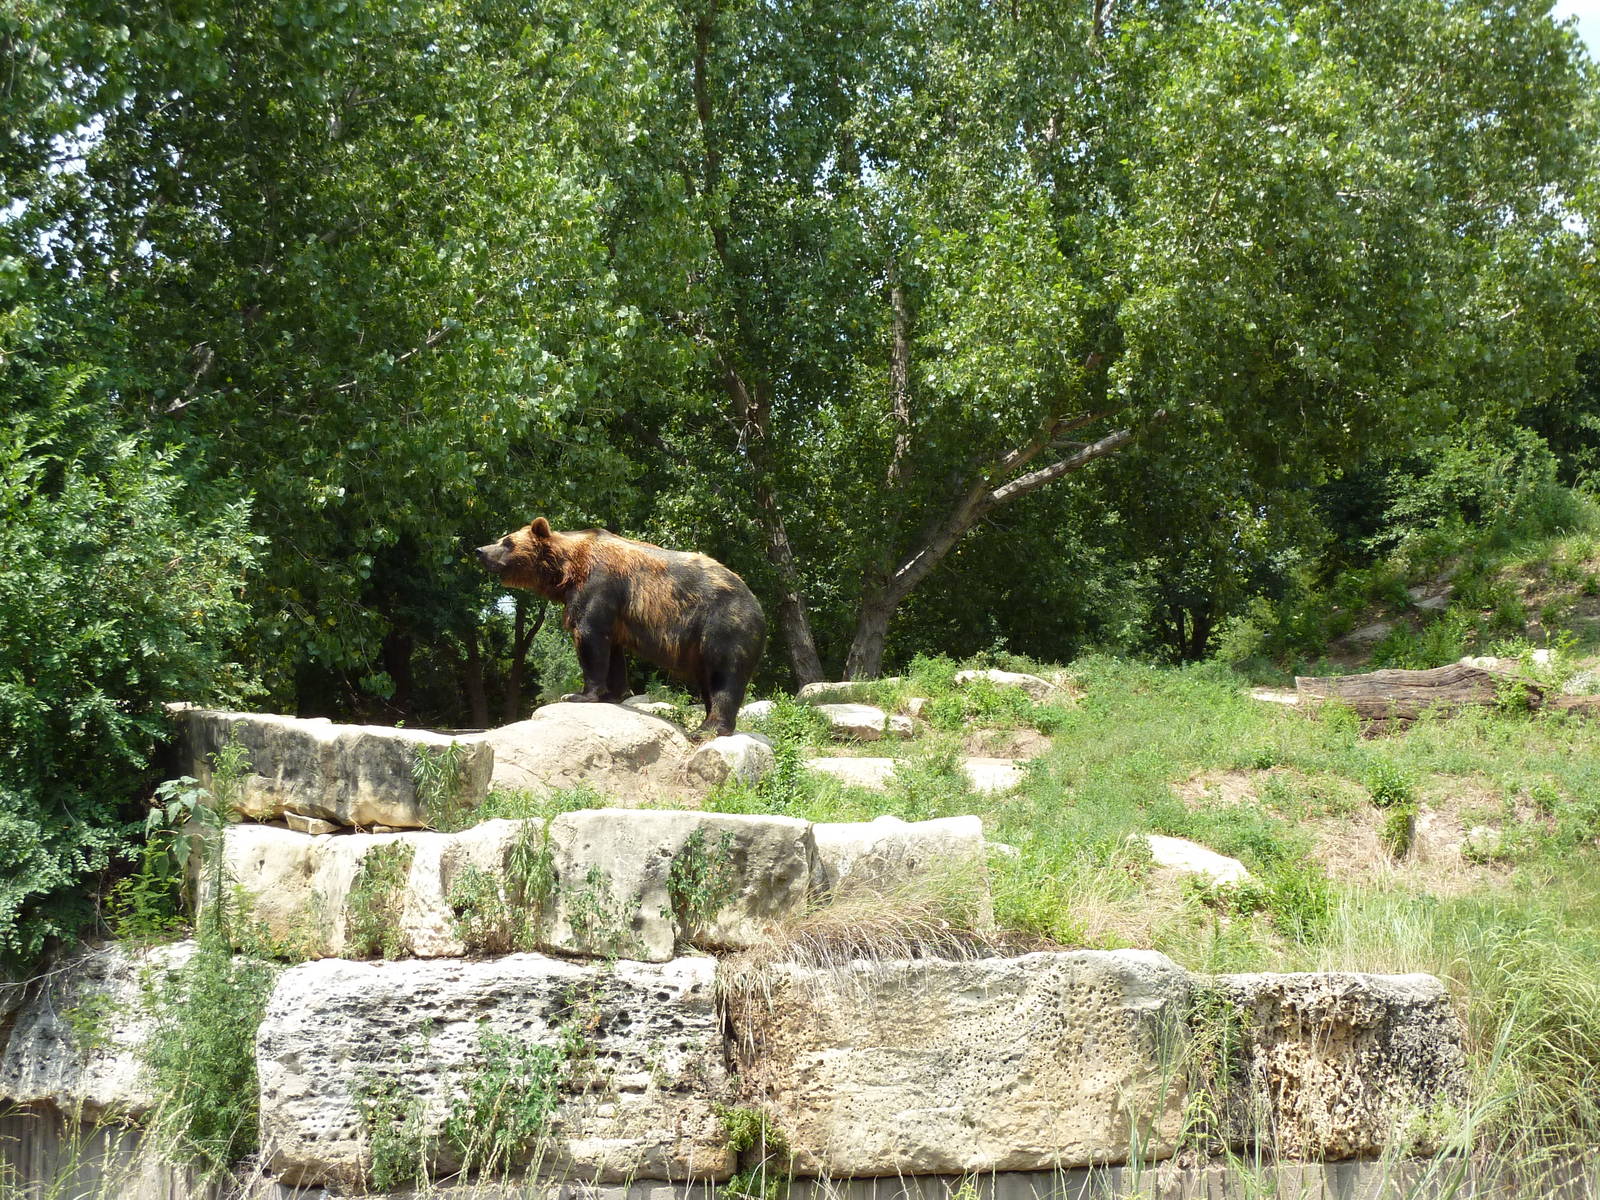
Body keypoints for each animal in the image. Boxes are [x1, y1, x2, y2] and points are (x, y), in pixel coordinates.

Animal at [475, 518, 766, 738]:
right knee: (708, 680)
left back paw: (708, 728)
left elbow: (590, 636)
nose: (480, 550)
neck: (567, 570)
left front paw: (579, 694)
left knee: (723, 676)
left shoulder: (599, 584)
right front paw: (611, 693)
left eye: (507, 541)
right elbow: (612, 650)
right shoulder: (614, 612)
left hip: (723, 624)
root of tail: (758, 605)